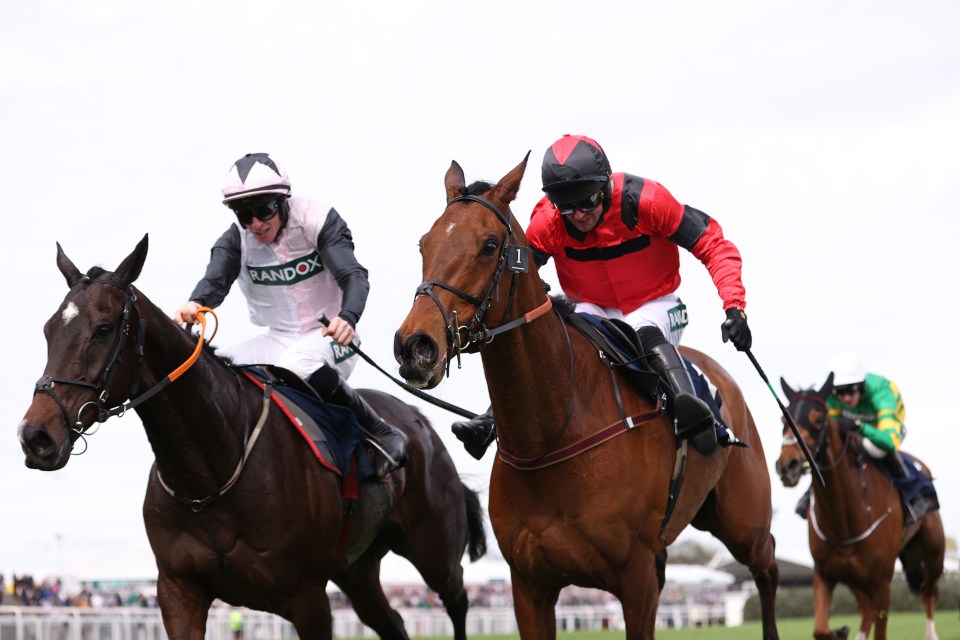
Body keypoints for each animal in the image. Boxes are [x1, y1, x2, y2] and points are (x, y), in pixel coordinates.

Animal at [16, 236, 488, 640]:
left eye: (103, 328)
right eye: (48, 329)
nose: (36, 436)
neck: (210, 473)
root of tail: (420, 423)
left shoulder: (308, 598)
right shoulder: (177, 592)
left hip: (435, 550)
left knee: (457, 599)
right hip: (357, 571)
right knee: (393, 623)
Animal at [396, 156, 780, 640]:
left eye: (488, 245)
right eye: (423, 244)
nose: (415, 346)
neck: (552, 434)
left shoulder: (636, 579)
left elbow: (706, 237)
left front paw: (737, 319)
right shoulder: (529, 585)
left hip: (744, 522)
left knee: (767, 568)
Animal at [772, 376, 944, 640]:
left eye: (818, 419)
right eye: (783, 419)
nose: (787, 465)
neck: (845, 520)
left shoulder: (882, 581)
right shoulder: (825, 572)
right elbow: (820, 629)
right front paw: (839, 631)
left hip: (933, 552)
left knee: (929, 592)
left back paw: (931, 633)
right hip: (855, 578)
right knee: (866, 611)